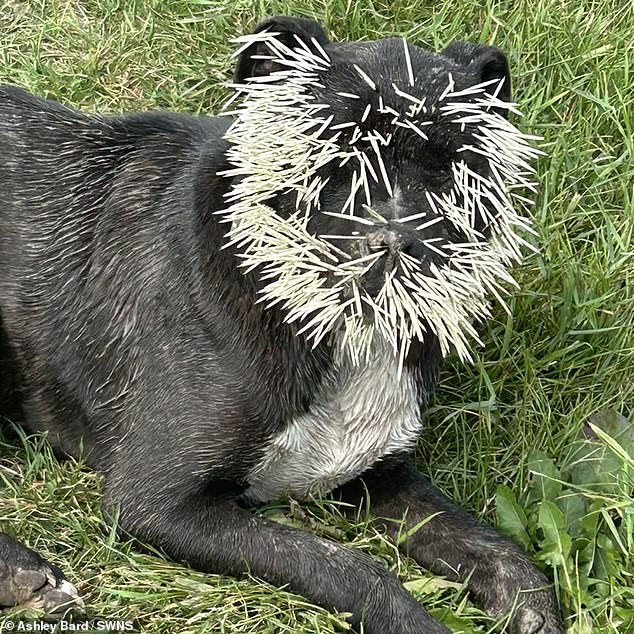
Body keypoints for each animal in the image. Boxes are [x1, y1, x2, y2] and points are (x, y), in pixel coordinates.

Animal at [1, 16, 564, 632]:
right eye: (331, 155)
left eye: (449, 164)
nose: (395, 243)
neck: (342, 331)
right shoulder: (158, 501)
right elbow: (352, 569)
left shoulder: (381, 475)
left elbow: (492, 547)